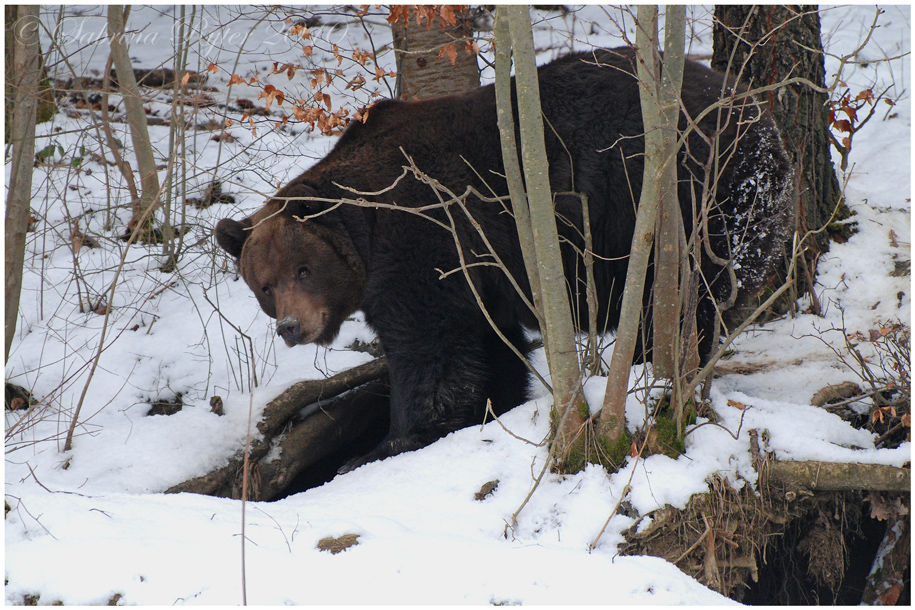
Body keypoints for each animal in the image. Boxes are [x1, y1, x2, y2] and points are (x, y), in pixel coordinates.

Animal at [215, 46, 796, 470]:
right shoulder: (477, 272)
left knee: (692, 297)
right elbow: (485, 344)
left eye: (303, 269)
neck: (369, 227)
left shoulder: (429, 237)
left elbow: (431, 351)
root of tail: (760, 113)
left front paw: (383, 445)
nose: (292, 326)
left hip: (703, 197)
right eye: (264, 285)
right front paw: (489, 406)